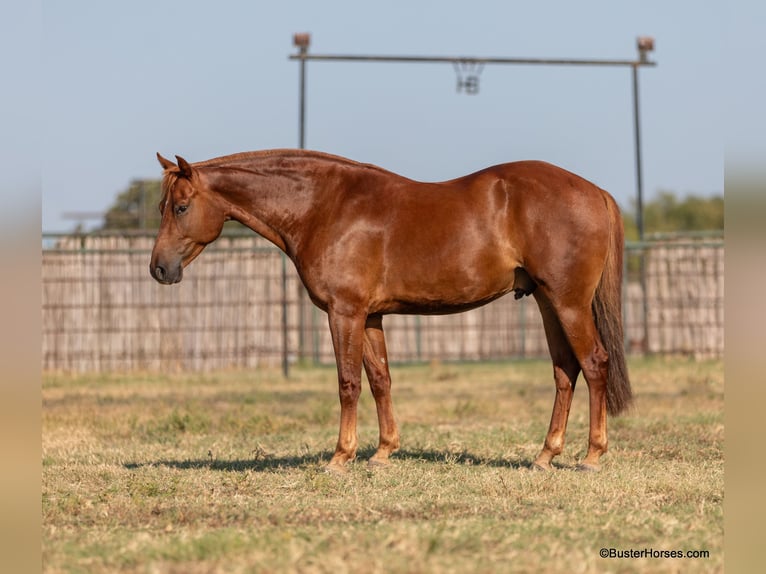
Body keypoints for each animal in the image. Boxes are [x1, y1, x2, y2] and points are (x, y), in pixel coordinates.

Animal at [152, 151, 636, 474]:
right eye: (163, 207)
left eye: (180, 207)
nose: (159, 268)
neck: (325, 206)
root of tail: (595, 192)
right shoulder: (370, 317)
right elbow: (380, 379)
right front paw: (383, 452)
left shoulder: (344, 312)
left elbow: (348, 383)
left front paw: (340, 457)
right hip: (546, 301)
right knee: (564, 372)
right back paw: (545, 455)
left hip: (568, 302)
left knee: (595, 364)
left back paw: (592, 456)